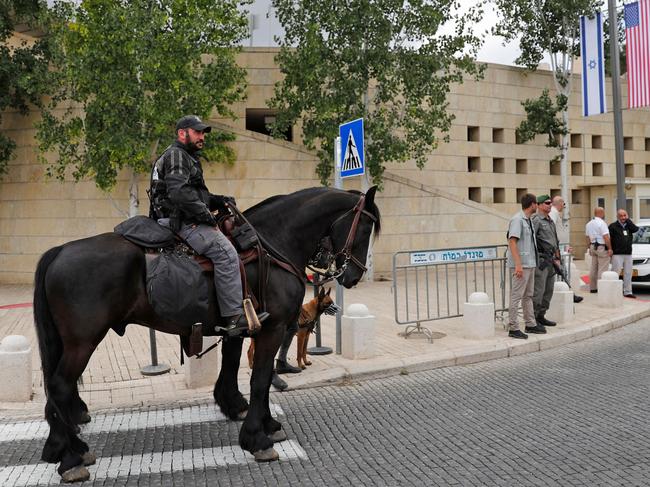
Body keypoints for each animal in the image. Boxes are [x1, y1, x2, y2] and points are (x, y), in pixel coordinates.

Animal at [34, 185, 380, 482]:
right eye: (365, 228)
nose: (354, 275)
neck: (273, 245)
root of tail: (60, 250)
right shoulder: (273, 328)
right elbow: (260, 379)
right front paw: (257, 437)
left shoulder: (241, 328)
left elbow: (238, 368)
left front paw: (248, 413)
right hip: (83, 342)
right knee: (60, 385)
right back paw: (72, 459)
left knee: (55, 387)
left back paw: (61, 446)